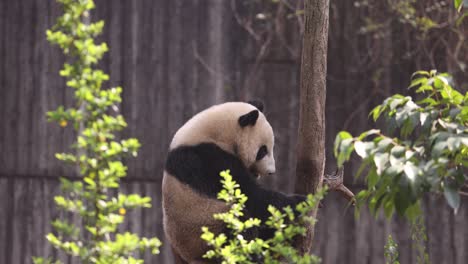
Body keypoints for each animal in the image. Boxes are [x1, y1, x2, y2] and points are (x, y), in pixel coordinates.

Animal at [163, 101, 306, 264]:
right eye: (263, 151)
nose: (271, 171)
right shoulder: (209, 159)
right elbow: (250, 195)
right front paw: (300, 201)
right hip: (206, 230)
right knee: (239, 222)